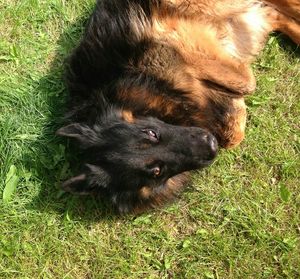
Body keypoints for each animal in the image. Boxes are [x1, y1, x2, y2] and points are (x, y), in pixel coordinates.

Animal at [56, 0, 300, 214]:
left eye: (151, 133)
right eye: (156, 171)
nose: (210, 145)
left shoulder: (171, 37)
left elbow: (246, 82)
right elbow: (233, 134)